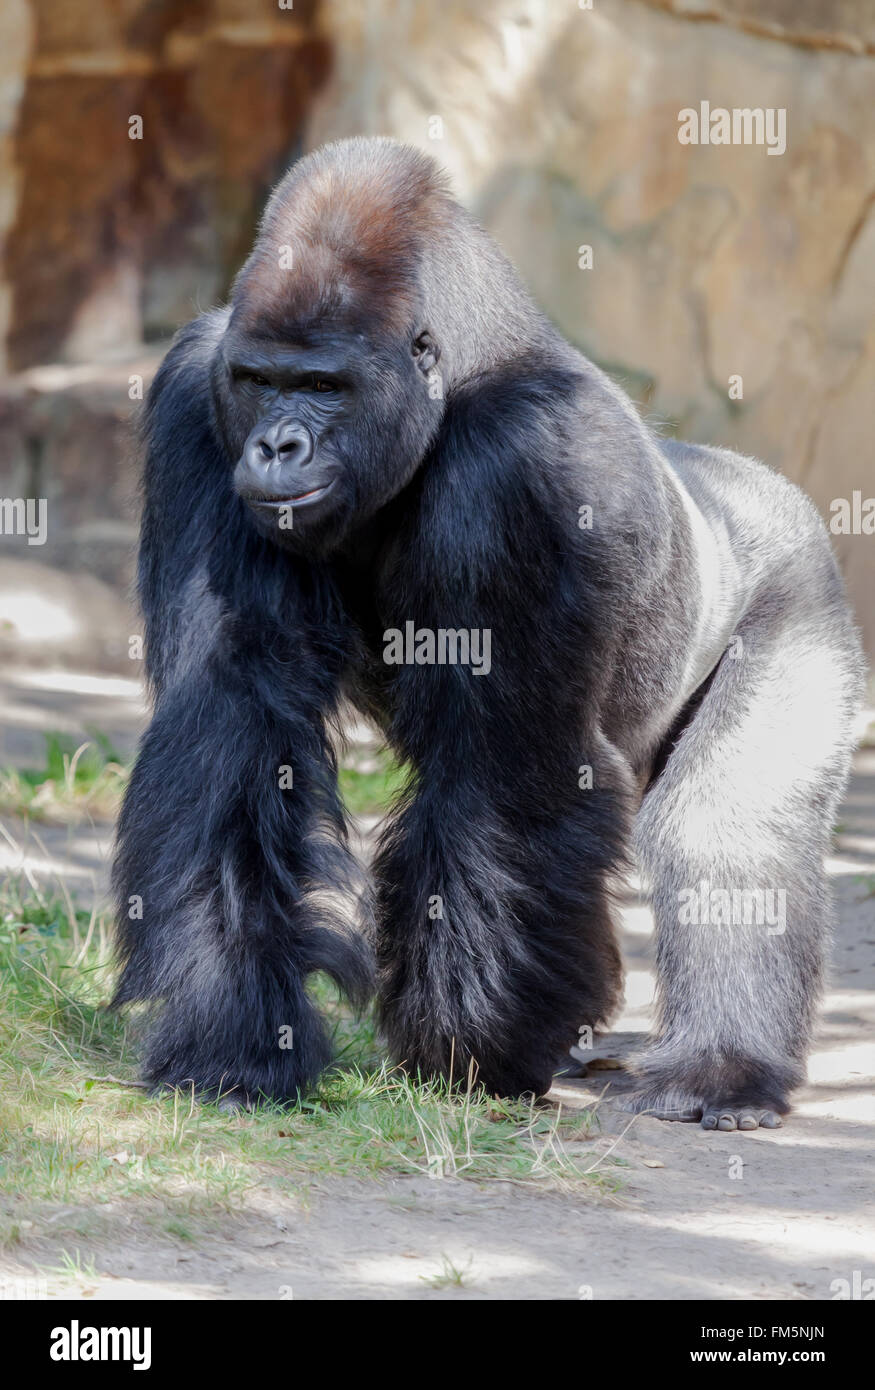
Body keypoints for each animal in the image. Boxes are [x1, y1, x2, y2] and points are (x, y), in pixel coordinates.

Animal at [110, 135, 868, 1128]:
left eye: (322, 387)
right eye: (260, 382)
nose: (276, 446)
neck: (460, 371)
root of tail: (748, 482)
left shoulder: (527, 462)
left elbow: (504, 779)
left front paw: (470, 1048)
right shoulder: (195, 402)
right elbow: (232, 720)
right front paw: (234, 1031)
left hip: (795, 582)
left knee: (725, 821)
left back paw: (723, 1067)